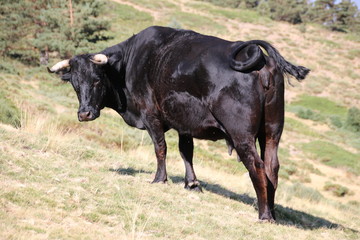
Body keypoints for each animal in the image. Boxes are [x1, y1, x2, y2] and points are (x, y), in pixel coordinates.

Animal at [47, 26, 310, 221]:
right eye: (75, 83)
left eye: (96, 80)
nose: (85, 114)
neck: (131, 63)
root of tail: (259, 58)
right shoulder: (185, 122)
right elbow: (186, 151)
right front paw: (192, 183)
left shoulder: (151, 114)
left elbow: (160, 148)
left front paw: (159, 179)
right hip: (272, 131)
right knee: (272, 166)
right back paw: (272, 212)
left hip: (242, 135)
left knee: (256, 165)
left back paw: (263, 215)